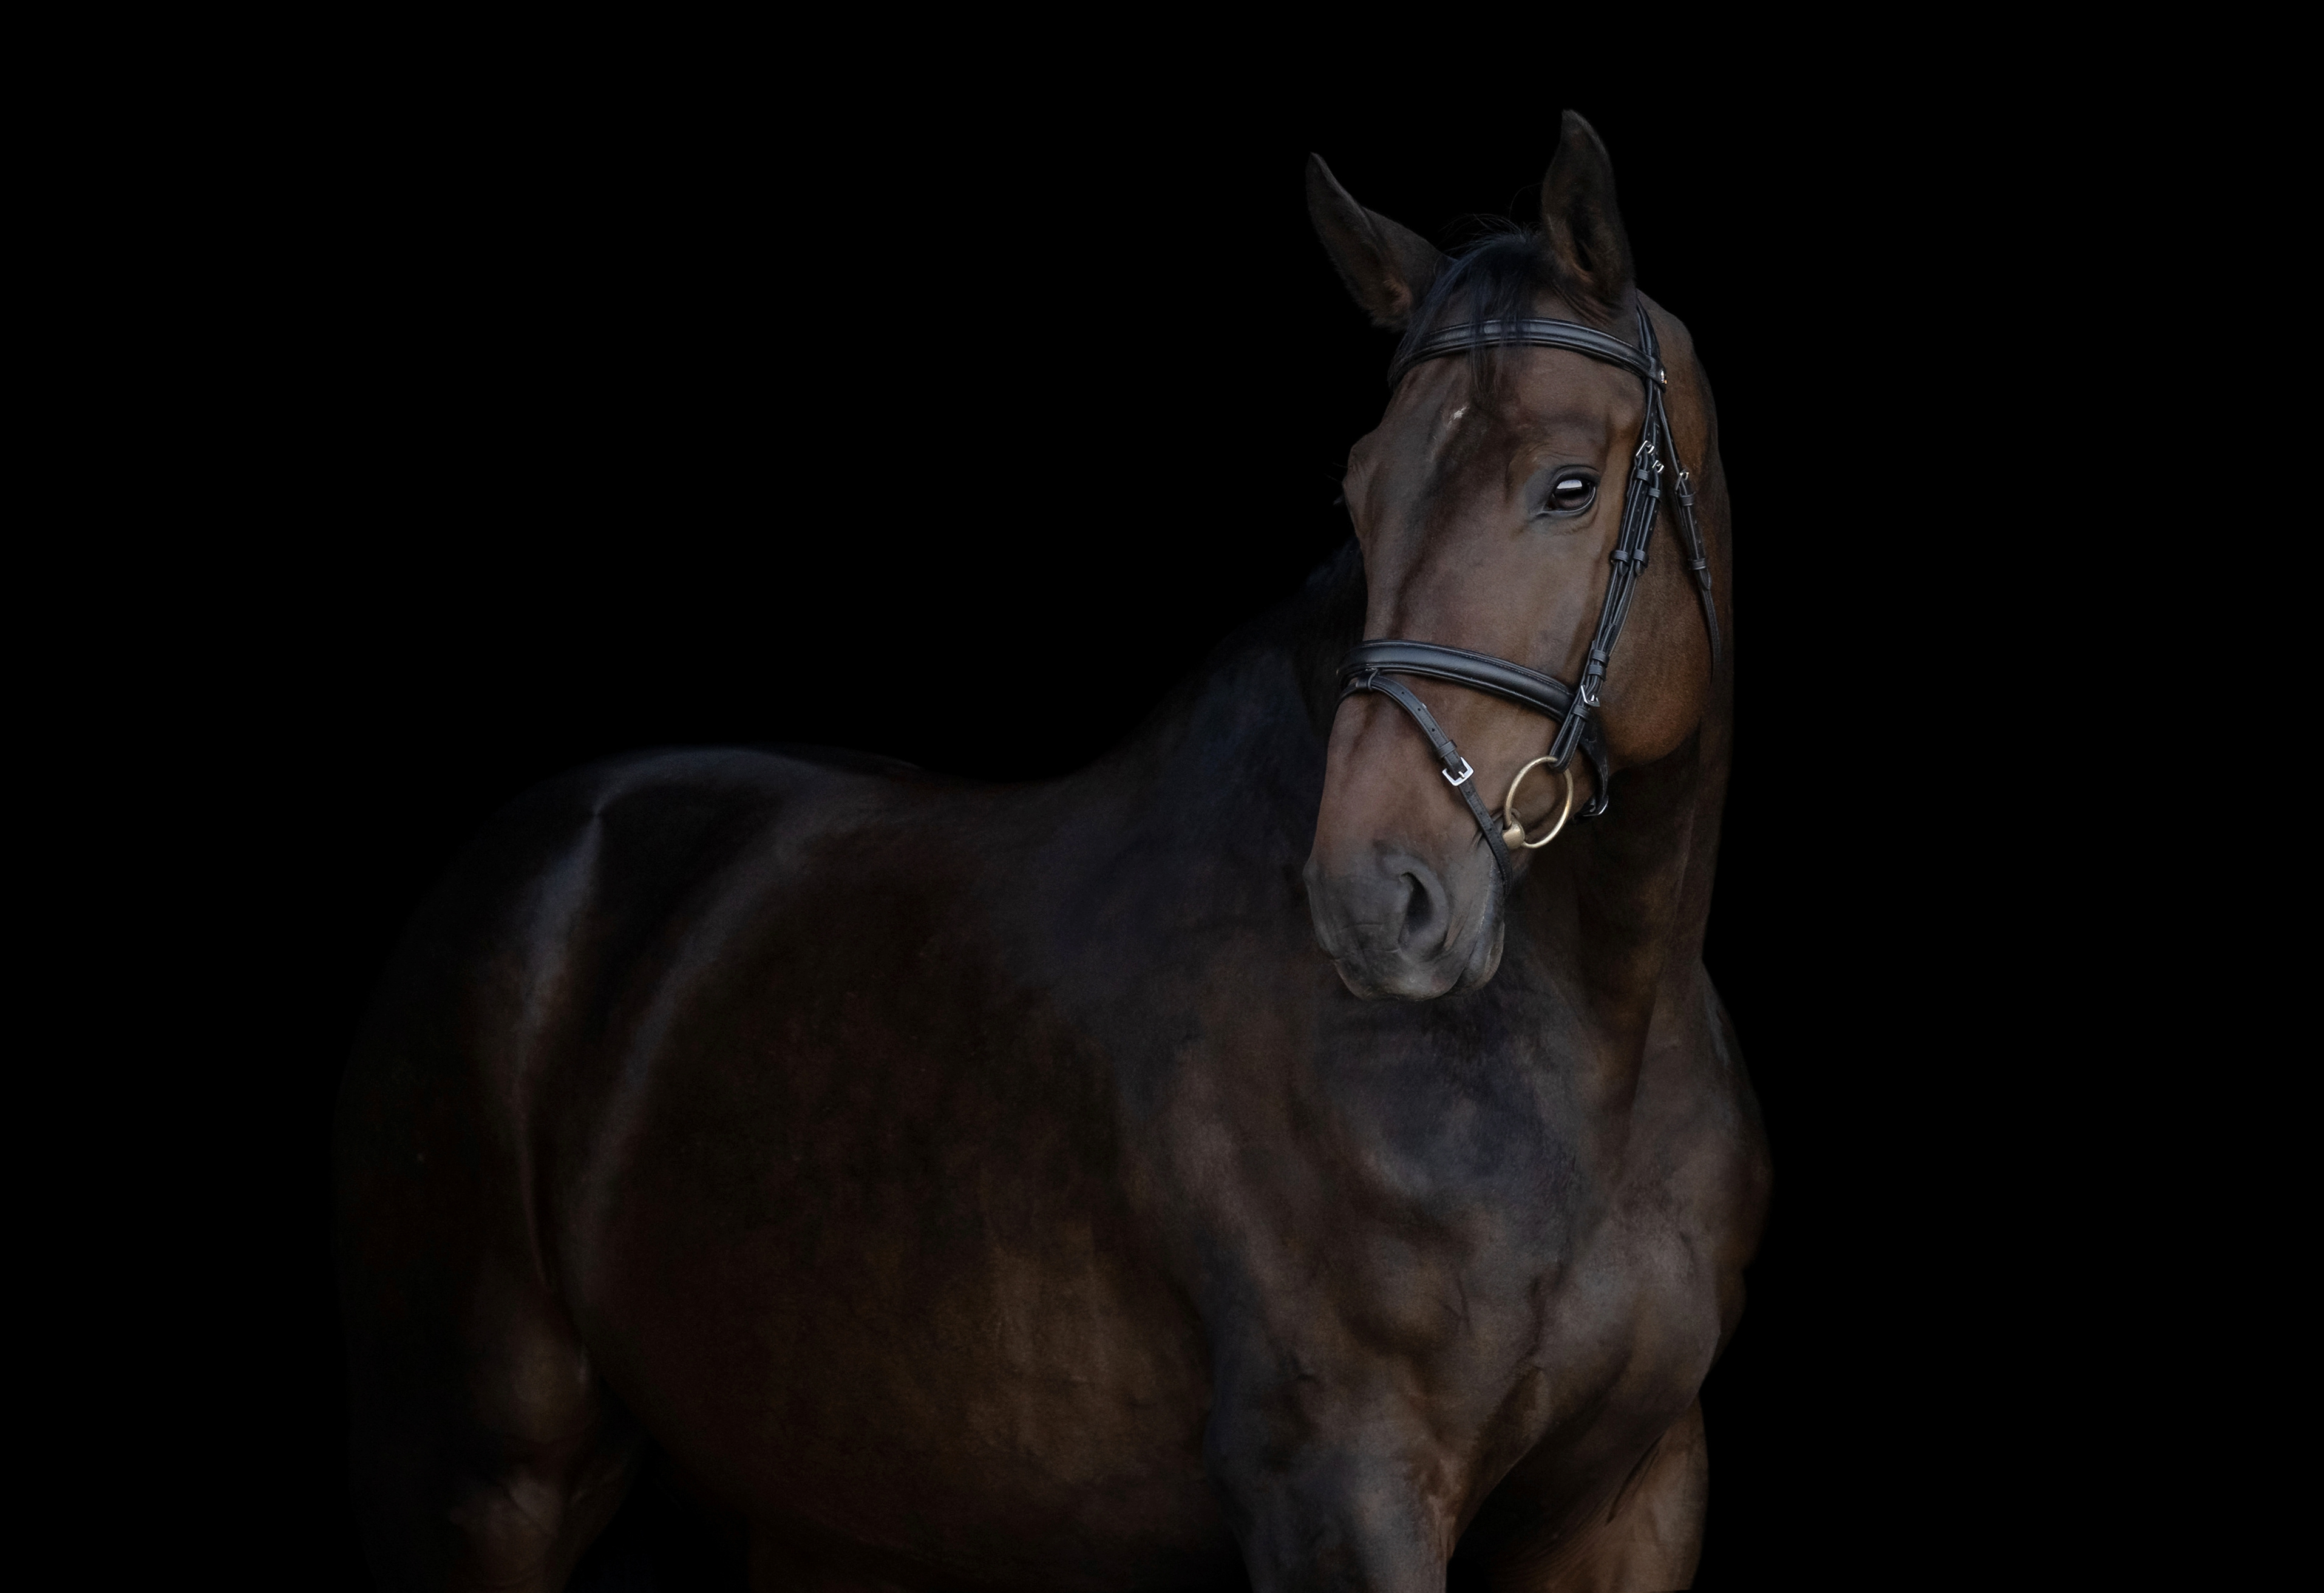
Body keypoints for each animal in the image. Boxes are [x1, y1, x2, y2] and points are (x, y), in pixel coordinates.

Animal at [336, 111, 1770, 1592]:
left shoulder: (1633, 1497)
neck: (1589, 1066)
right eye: (1361, 490)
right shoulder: (1347, 1493)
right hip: (476, 1480)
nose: (1379, 896)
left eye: (1569, 486)